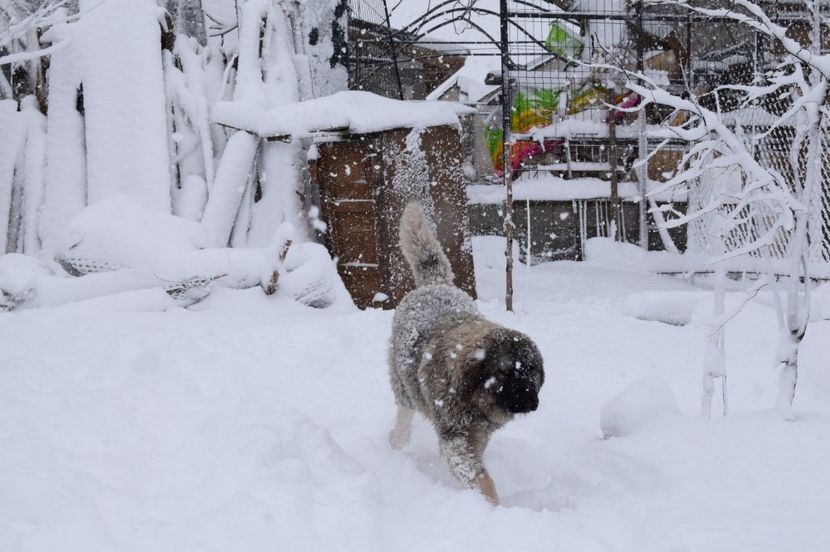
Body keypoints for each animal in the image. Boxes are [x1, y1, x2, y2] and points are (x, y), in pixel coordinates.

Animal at [388, 202, 544, 504]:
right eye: (505, 373)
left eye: (531, 372)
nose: (532, 402)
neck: (474, 395)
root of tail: (434, 284)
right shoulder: (455, 437)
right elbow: (479, 476)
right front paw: (491, 506)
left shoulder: (478, 434)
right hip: (403, 384)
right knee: (404, 411)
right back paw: (396, 440)